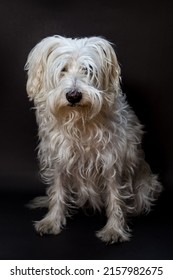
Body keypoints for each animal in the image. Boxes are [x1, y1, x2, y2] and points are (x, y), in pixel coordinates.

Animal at [24, 36, 162, 244]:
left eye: (87, 70)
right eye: (63, 69)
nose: (74, 95)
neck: (79, 122)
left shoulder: (112, 161)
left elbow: (115, 196)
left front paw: (114, 229)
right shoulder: (59, 159)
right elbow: (57, 192)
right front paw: (52, 221)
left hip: (145, 188)